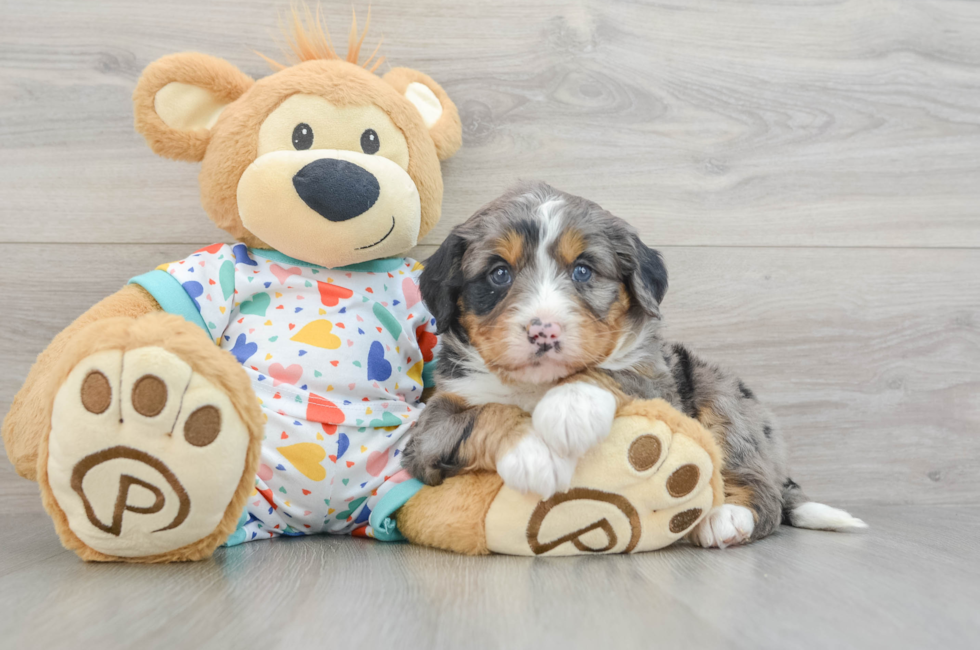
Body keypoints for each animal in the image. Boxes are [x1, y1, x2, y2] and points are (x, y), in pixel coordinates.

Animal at [404, 180, 864, 544]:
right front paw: (533, 453)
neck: (538, 385)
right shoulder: (431, 429)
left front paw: (568, 411)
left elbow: (612, 373)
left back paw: (725, 517)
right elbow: (478, 414)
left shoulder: (658, 380)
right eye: (499, 274)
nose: (544, 331)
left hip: (722, 394)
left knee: (762, 491)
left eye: (583, 270)